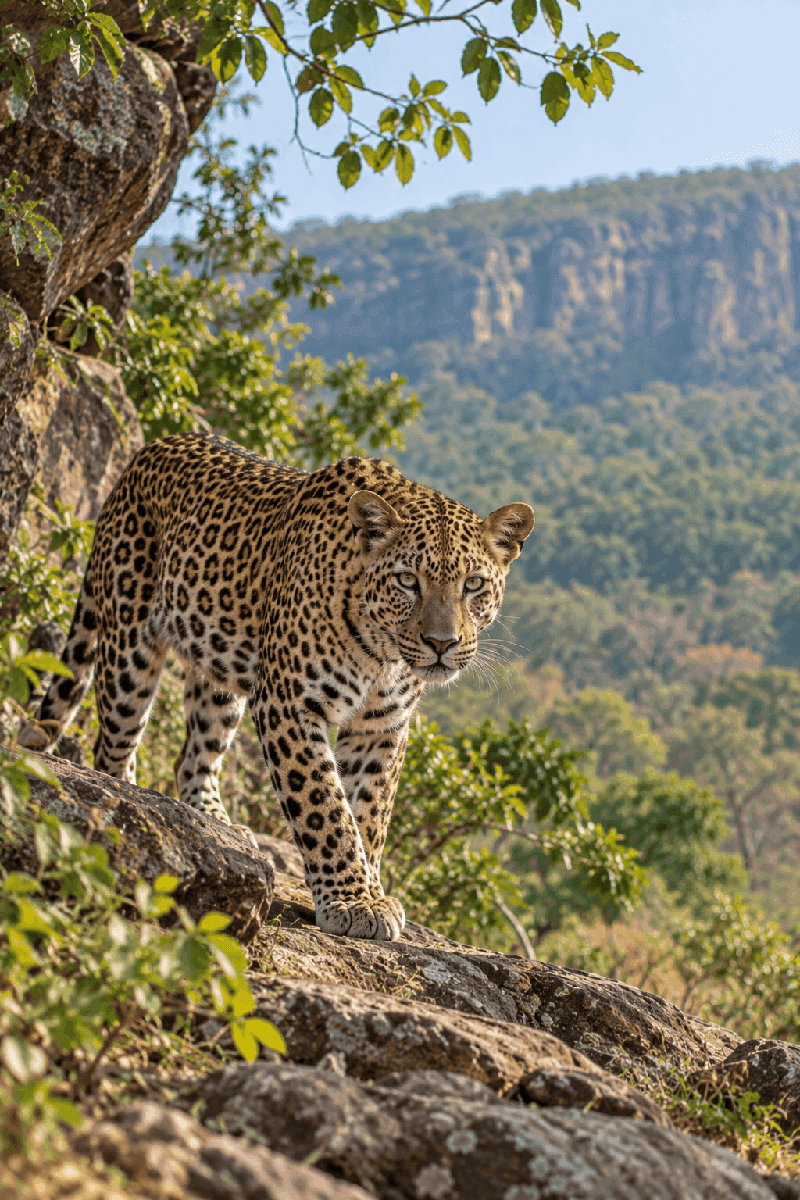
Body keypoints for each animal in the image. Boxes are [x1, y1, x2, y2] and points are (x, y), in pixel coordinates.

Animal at [21, 433, 535, 941]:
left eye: (474, 585)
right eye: (408, 580)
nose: (442, 644)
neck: (381, 653)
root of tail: (149, 450)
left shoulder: (381, 726)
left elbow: (368, 814)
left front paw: (369, 889)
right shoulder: (289, 703)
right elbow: (324, 805)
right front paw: (353, 900)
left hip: (221, 673)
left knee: (193, 756)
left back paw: (217, 826)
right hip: (129, 649)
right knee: (113, 747)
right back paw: (134, 812)